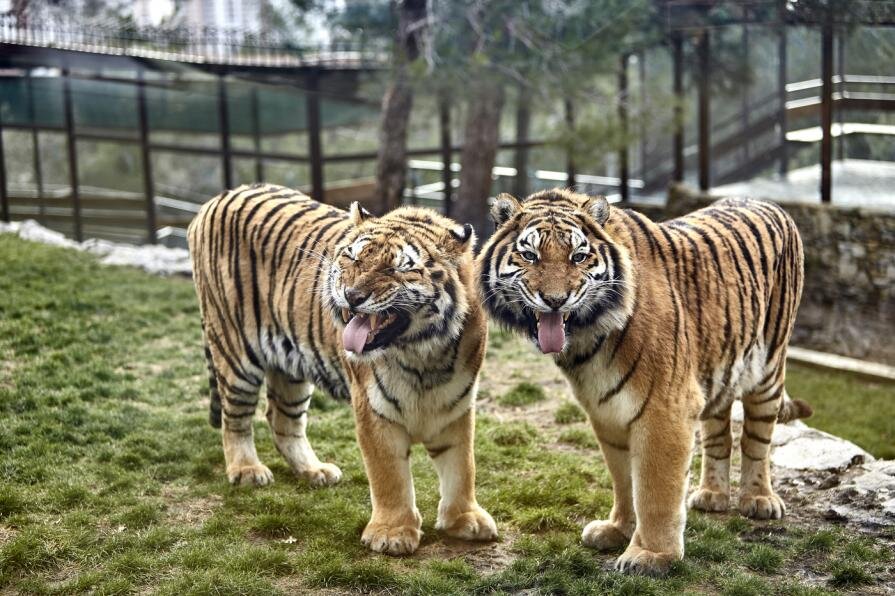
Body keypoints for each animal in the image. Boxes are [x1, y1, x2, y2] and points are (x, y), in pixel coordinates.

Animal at [187, 184, 496, 556]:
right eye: (354, 258)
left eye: (397, 269)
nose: (352, 295)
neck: (423, 355)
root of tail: (219, 197)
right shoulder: (373, 408)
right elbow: (389, 475)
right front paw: (391, 533)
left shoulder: (456, 406)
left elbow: (462, 466)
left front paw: (465, 519)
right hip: (235, 353)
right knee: (235, 419)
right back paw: (247, 470)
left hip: (291, 367)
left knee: (281, 420)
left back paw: (314, 471)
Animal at [480, 189, 816, 576]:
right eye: (529, 254)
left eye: (578, 256)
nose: (554, 300)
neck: (587, 337)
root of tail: (767, 201)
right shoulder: (606, 410)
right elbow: (624, 480)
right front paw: (618, 529)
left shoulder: (665, 409)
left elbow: (655, 489)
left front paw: (651, 555)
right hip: (719, 369)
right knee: (719, 436)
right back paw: (712, 496)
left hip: (768, 369)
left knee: (756, 439)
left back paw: (759, 499)